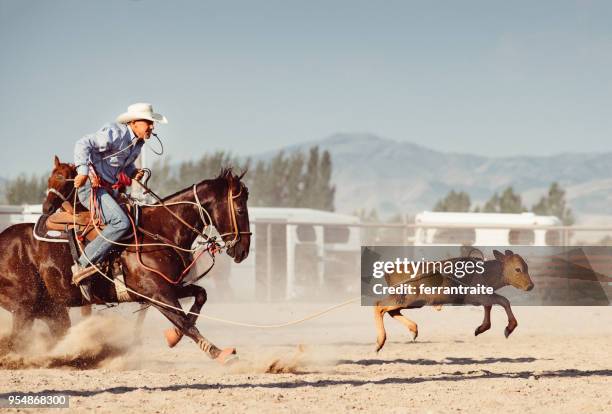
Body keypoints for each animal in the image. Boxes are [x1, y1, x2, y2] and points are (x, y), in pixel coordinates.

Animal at [0, 164, 250, 362]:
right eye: (239, 209)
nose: (244, 250)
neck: (159, 231)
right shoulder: (157, 293)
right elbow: (185, 323)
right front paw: (220, 354)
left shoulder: (168, 287)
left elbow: (200, 296)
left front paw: (173, 336)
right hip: (24, 307)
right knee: (16, 341)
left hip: (50, 308)